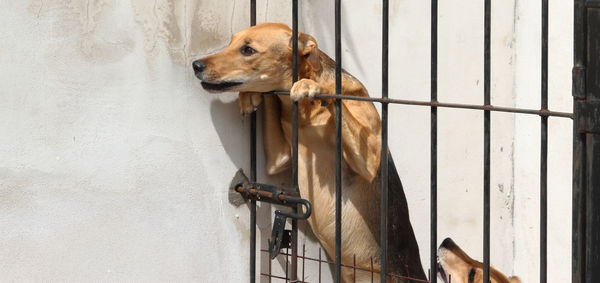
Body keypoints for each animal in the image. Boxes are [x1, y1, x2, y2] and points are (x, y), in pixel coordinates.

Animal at [195, 23, 424, 282]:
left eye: (248, 50)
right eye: (231, 42)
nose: (196, 65)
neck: (307, 115)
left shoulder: (370, 161)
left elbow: (334, 95)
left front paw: (313, 86)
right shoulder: (279, 158)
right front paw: (250, 96)